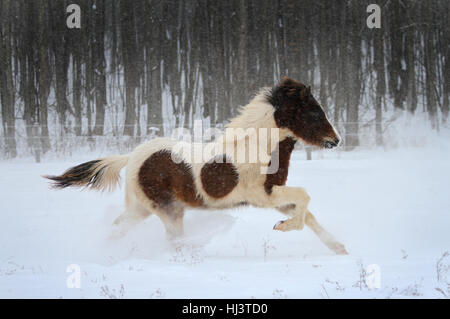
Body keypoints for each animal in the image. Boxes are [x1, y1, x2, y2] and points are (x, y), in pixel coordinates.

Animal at [45, 77, 348, 255]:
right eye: (314, 112)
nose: (335, 140)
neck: (257, 147)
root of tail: (130, 157)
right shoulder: (262, 195)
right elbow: (305, 198)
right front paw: (282, 227)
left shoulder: (275, 196)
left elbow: (307, 213)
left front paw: (340, 249)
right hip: (167, 209)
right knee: (172, 238)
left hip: (142, 208)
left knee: (118, 227)